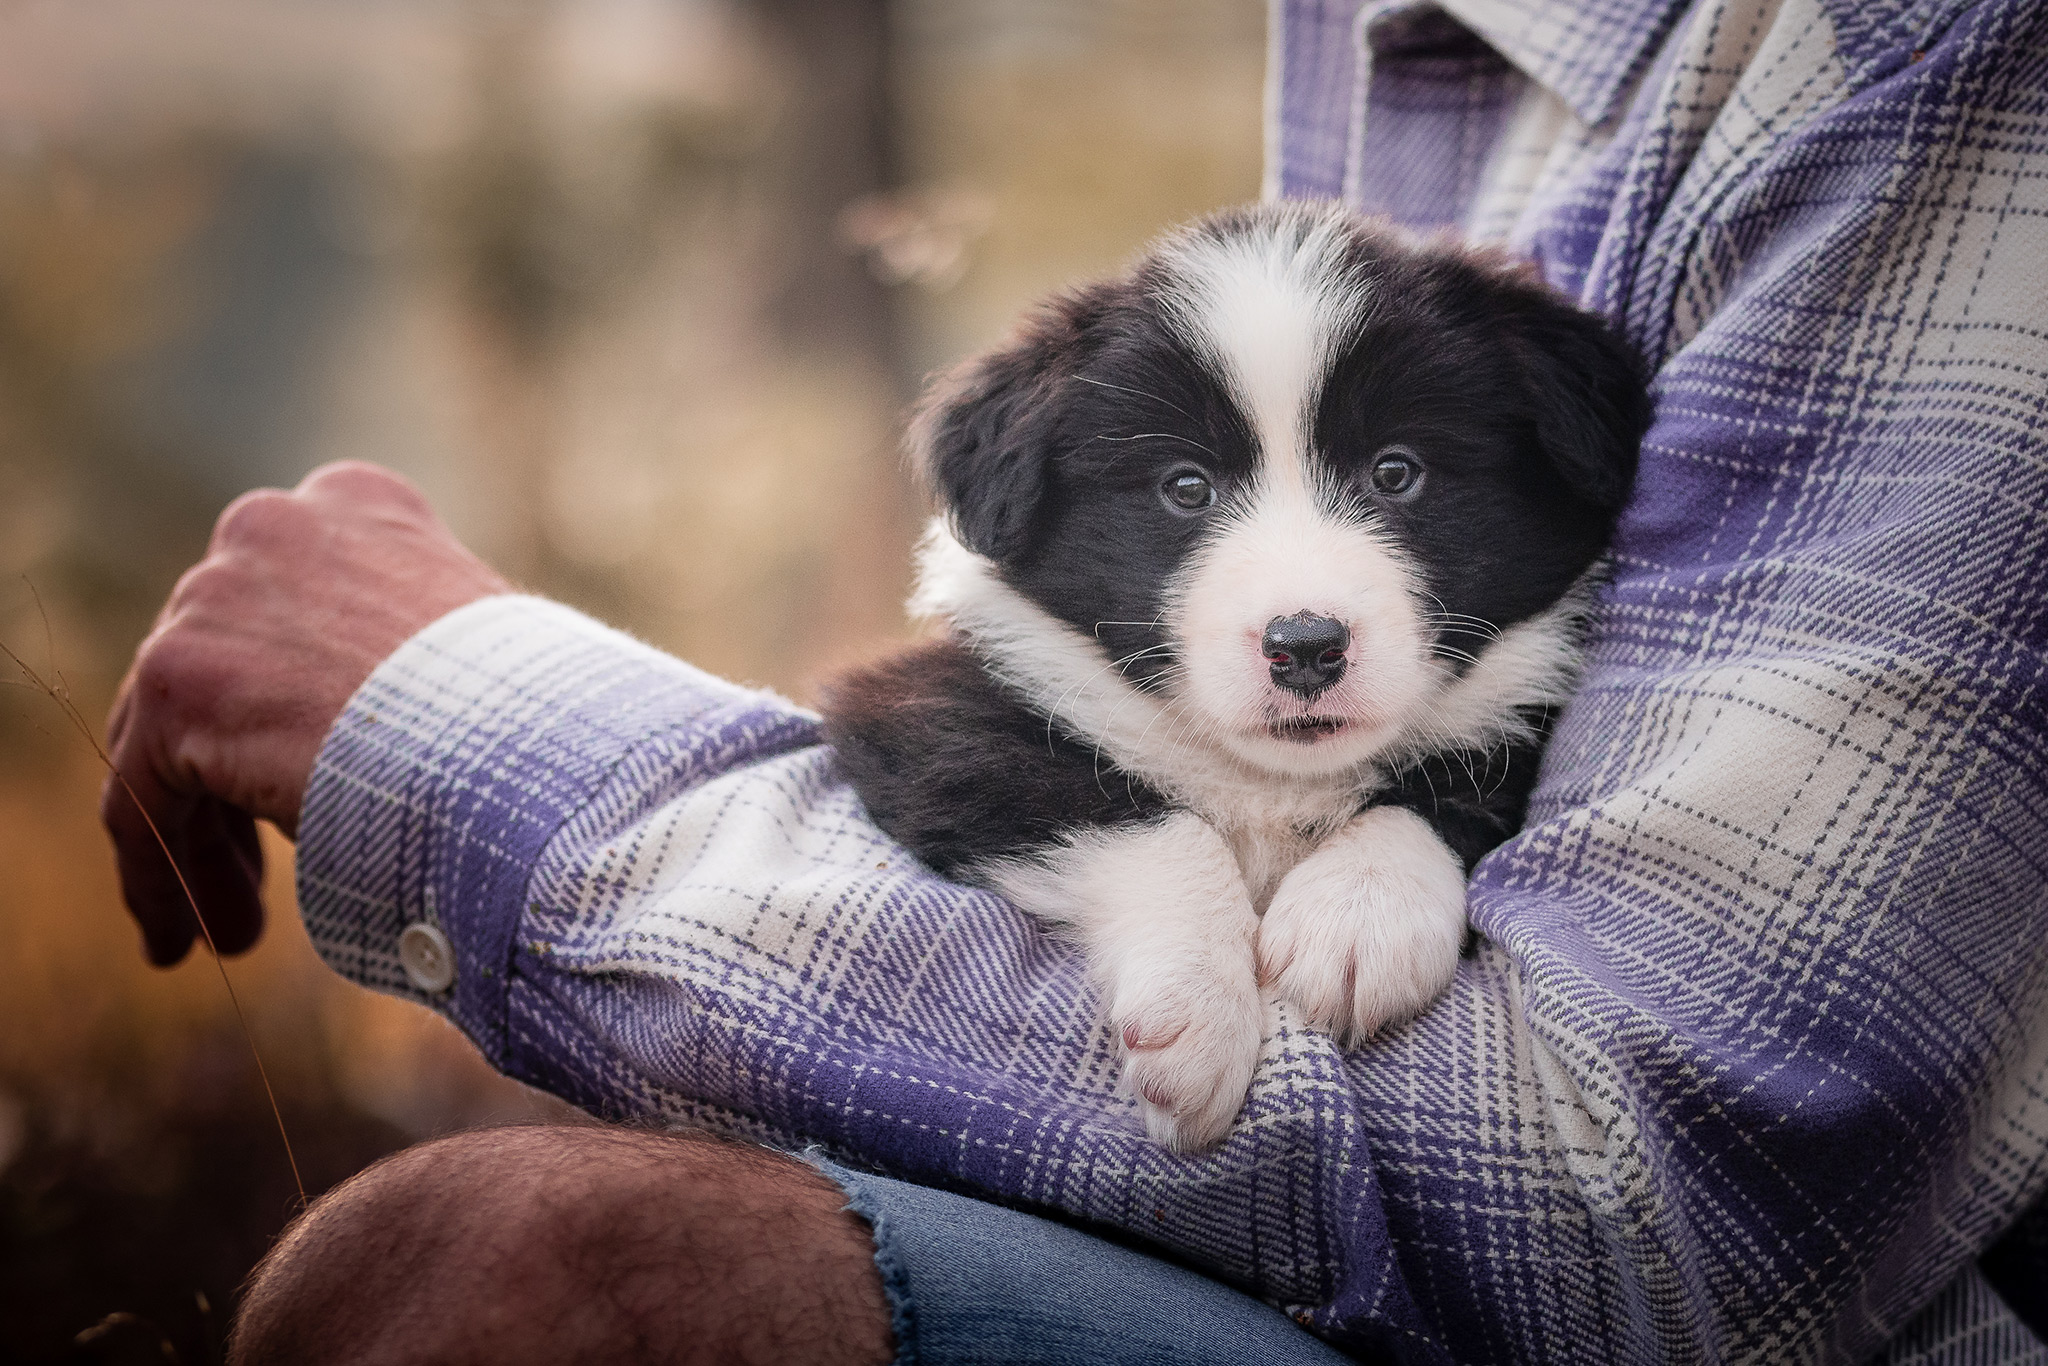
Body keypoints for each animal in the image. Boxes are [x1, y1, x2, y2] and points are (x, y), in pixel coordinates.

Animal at [815, 197, 1646, 1146]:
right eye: (1186, 487)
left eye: (1397, 471)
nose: (1306, 645)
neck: (1273, 780)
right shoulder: (927, 715)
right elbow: (1143, 816)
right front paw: (1198, 1012)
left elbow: (1461, 784)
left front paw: (1358, 917)